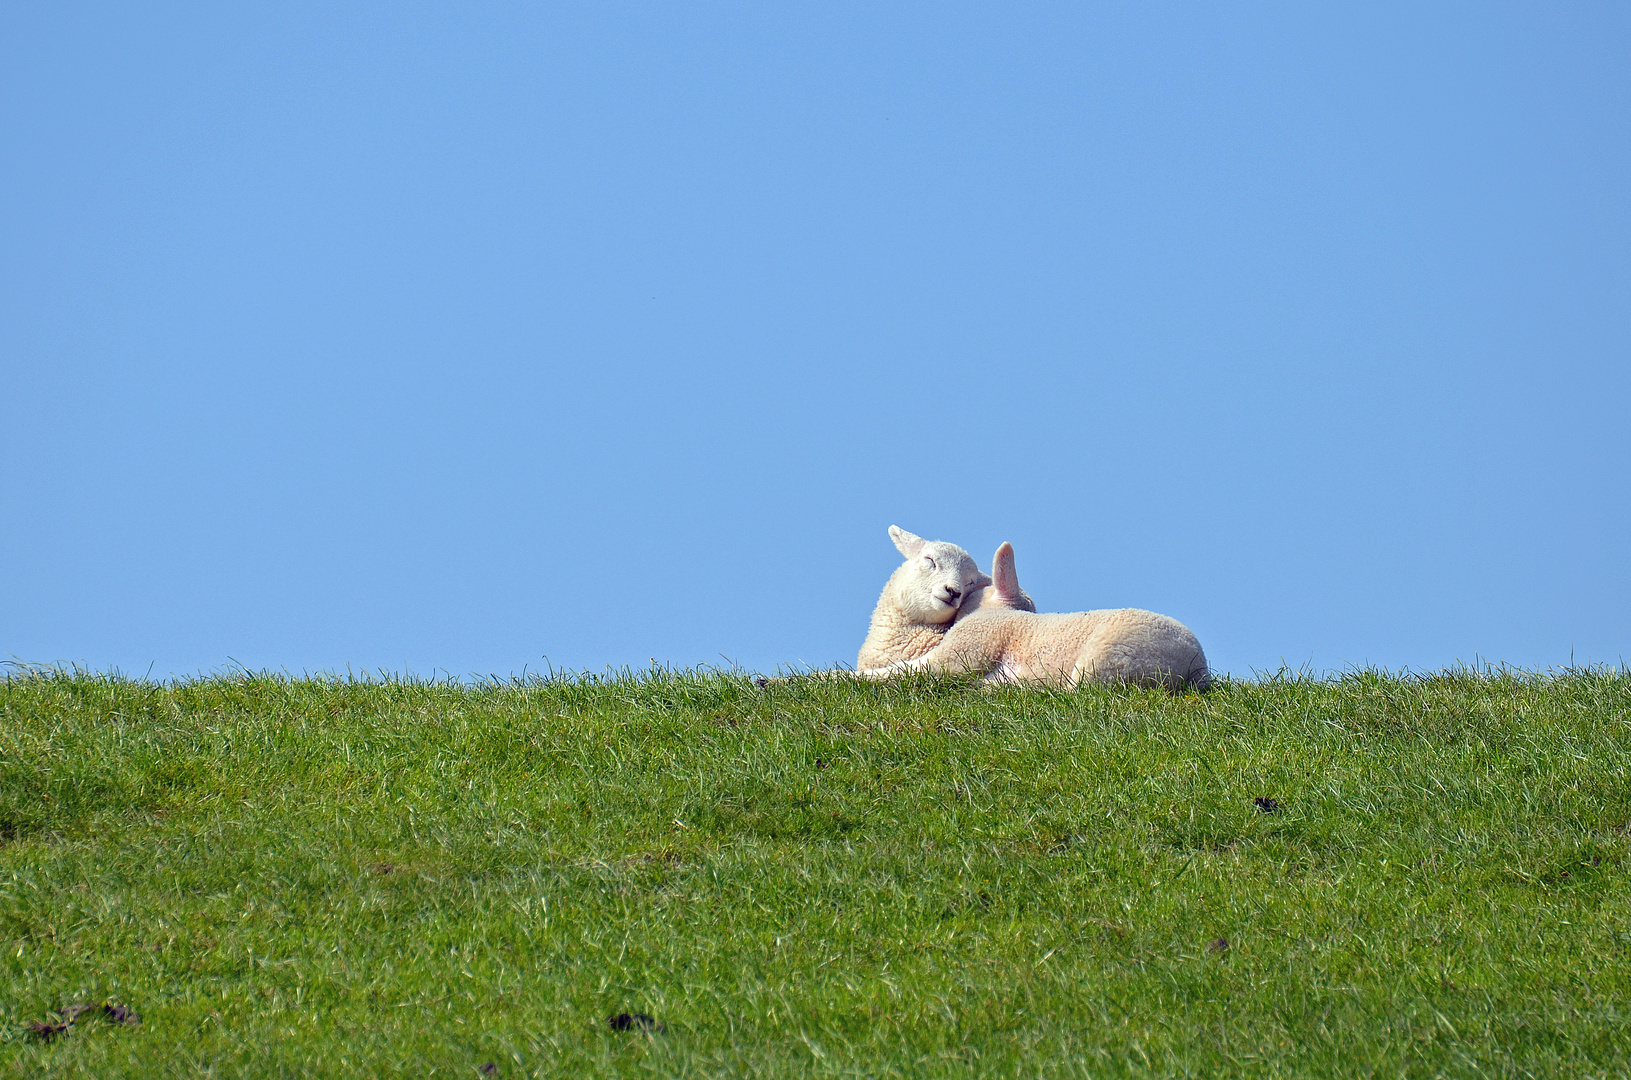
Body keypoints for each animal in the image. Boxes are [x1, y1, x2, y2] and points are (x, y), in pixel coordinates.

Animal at [867, 541, 1213, 694]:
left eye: (972, 584)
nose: (953, 593)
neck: (1003, 612)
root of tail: (1195, 667)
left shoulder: (968, 647)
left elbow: (909, 671)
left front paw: (853, 677)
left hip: (1107, 657)